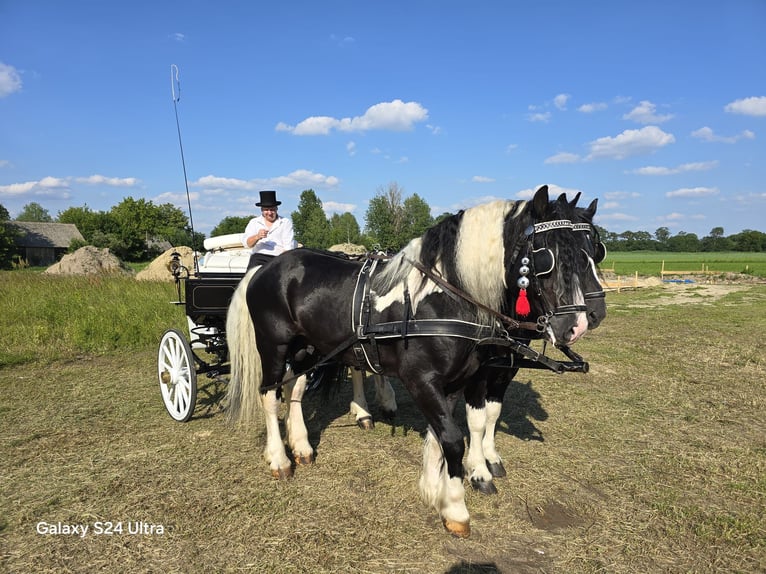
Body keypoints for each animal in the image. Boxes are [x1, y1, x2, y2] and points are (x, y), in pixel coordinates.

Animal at [226, 186, 592, 540]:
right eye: (546, 255)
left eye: (591, 250)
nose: (577, 325)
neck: (444, 300)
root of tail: (266, 267)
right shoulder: (422, 380)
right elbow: (453, 440)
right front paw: (455, 508)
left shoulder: (455, 381)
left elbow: (443, 434)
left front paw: (433, 489)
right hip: (274, 346)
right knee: (270, 395)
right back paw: (279, 458)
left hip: (310, 348)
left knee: (295, 387)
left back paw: (301, 445)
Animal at [460, 194, 608, 496]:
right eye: (548, 258)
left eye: (595, 252)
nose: (591, 316)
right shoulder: (477, 373)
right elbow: (477, 421)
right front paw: (478, 470)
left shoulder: (506, 367)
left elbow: (493, 413)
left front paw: (491, 458)